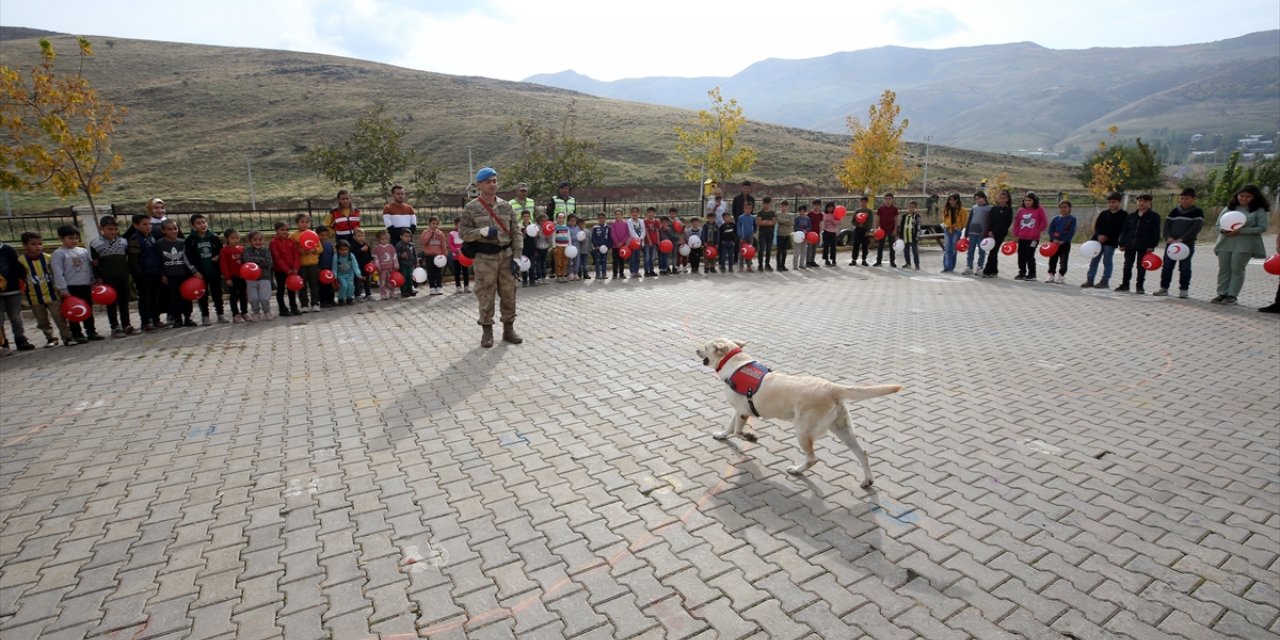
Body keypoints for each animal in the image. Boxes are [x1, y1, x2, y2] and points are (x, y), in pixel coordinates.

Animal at [701, 337, 901, 486]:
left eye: (705, 347)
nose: (696, 350)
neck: (735, 363)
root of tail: (831, 387)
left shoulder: (743, 411)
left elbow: (737, 431)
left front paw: (749, 436)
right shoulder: (739, 410)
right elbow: (730, 427)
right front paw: (722, 435)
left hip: (803, 431)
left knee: (812, 458)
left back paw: (797, 470)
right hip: (842, 428)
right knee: (862, 453)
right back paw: (868, 479)